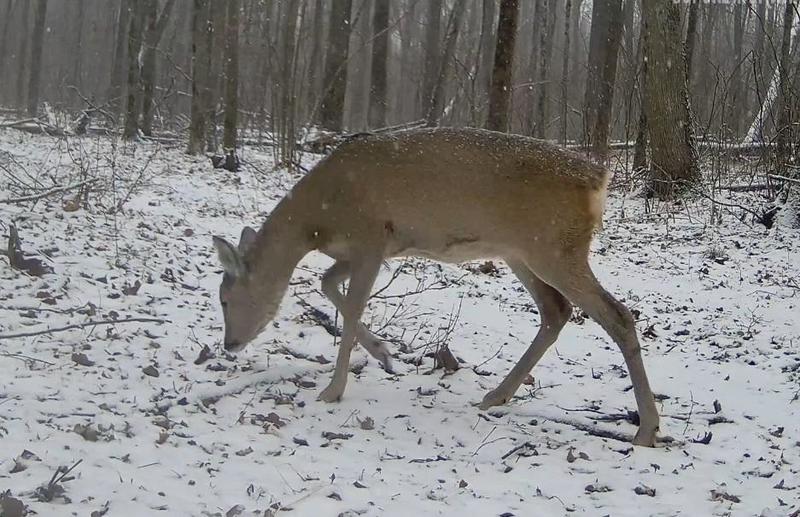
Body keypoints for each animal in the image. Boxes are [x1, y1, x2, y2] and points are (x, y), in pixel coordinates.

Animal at [209, 127, 660, 446]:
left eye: (226, 299)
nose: (230, 344)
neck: (316, 221)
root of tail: (599, 178)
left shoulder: (371, 237)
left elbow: (351, 307)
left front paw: (333, 390)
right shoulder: (361, 250)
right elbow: (327, 284)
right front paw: (383, 353)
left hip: (554, 248)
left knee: (616, 314)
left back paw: (646, 429)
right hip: (520, 251)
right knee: (556, 311)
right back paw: (495, 395)